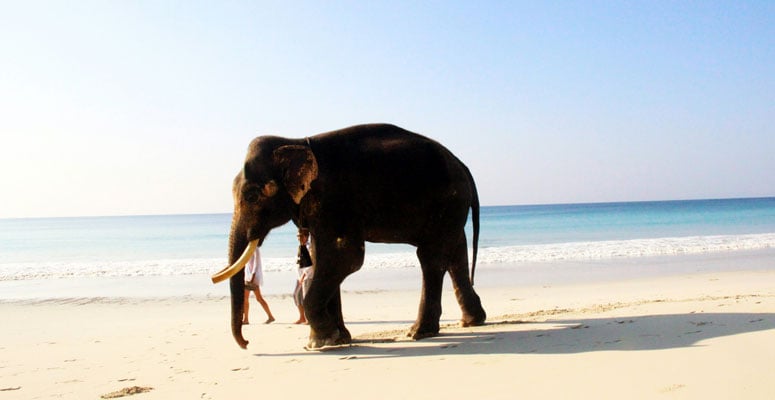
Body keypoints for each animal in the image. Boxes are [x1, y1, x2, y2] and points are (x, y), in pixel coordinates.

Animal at [211, 123, 486, 349]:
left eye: (252, 196)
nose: (247, 343)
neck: (297, 141)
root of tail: (463, 165)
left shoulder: (335, 201)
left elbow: (345, 258)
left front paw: (322, 342)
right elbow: (322, 259)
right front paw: (338, 339)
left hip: (446, 202)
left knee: (431, 257)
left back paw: (418, 333)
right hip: (452, 208)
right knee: (455, 254)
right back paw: (470, 322)